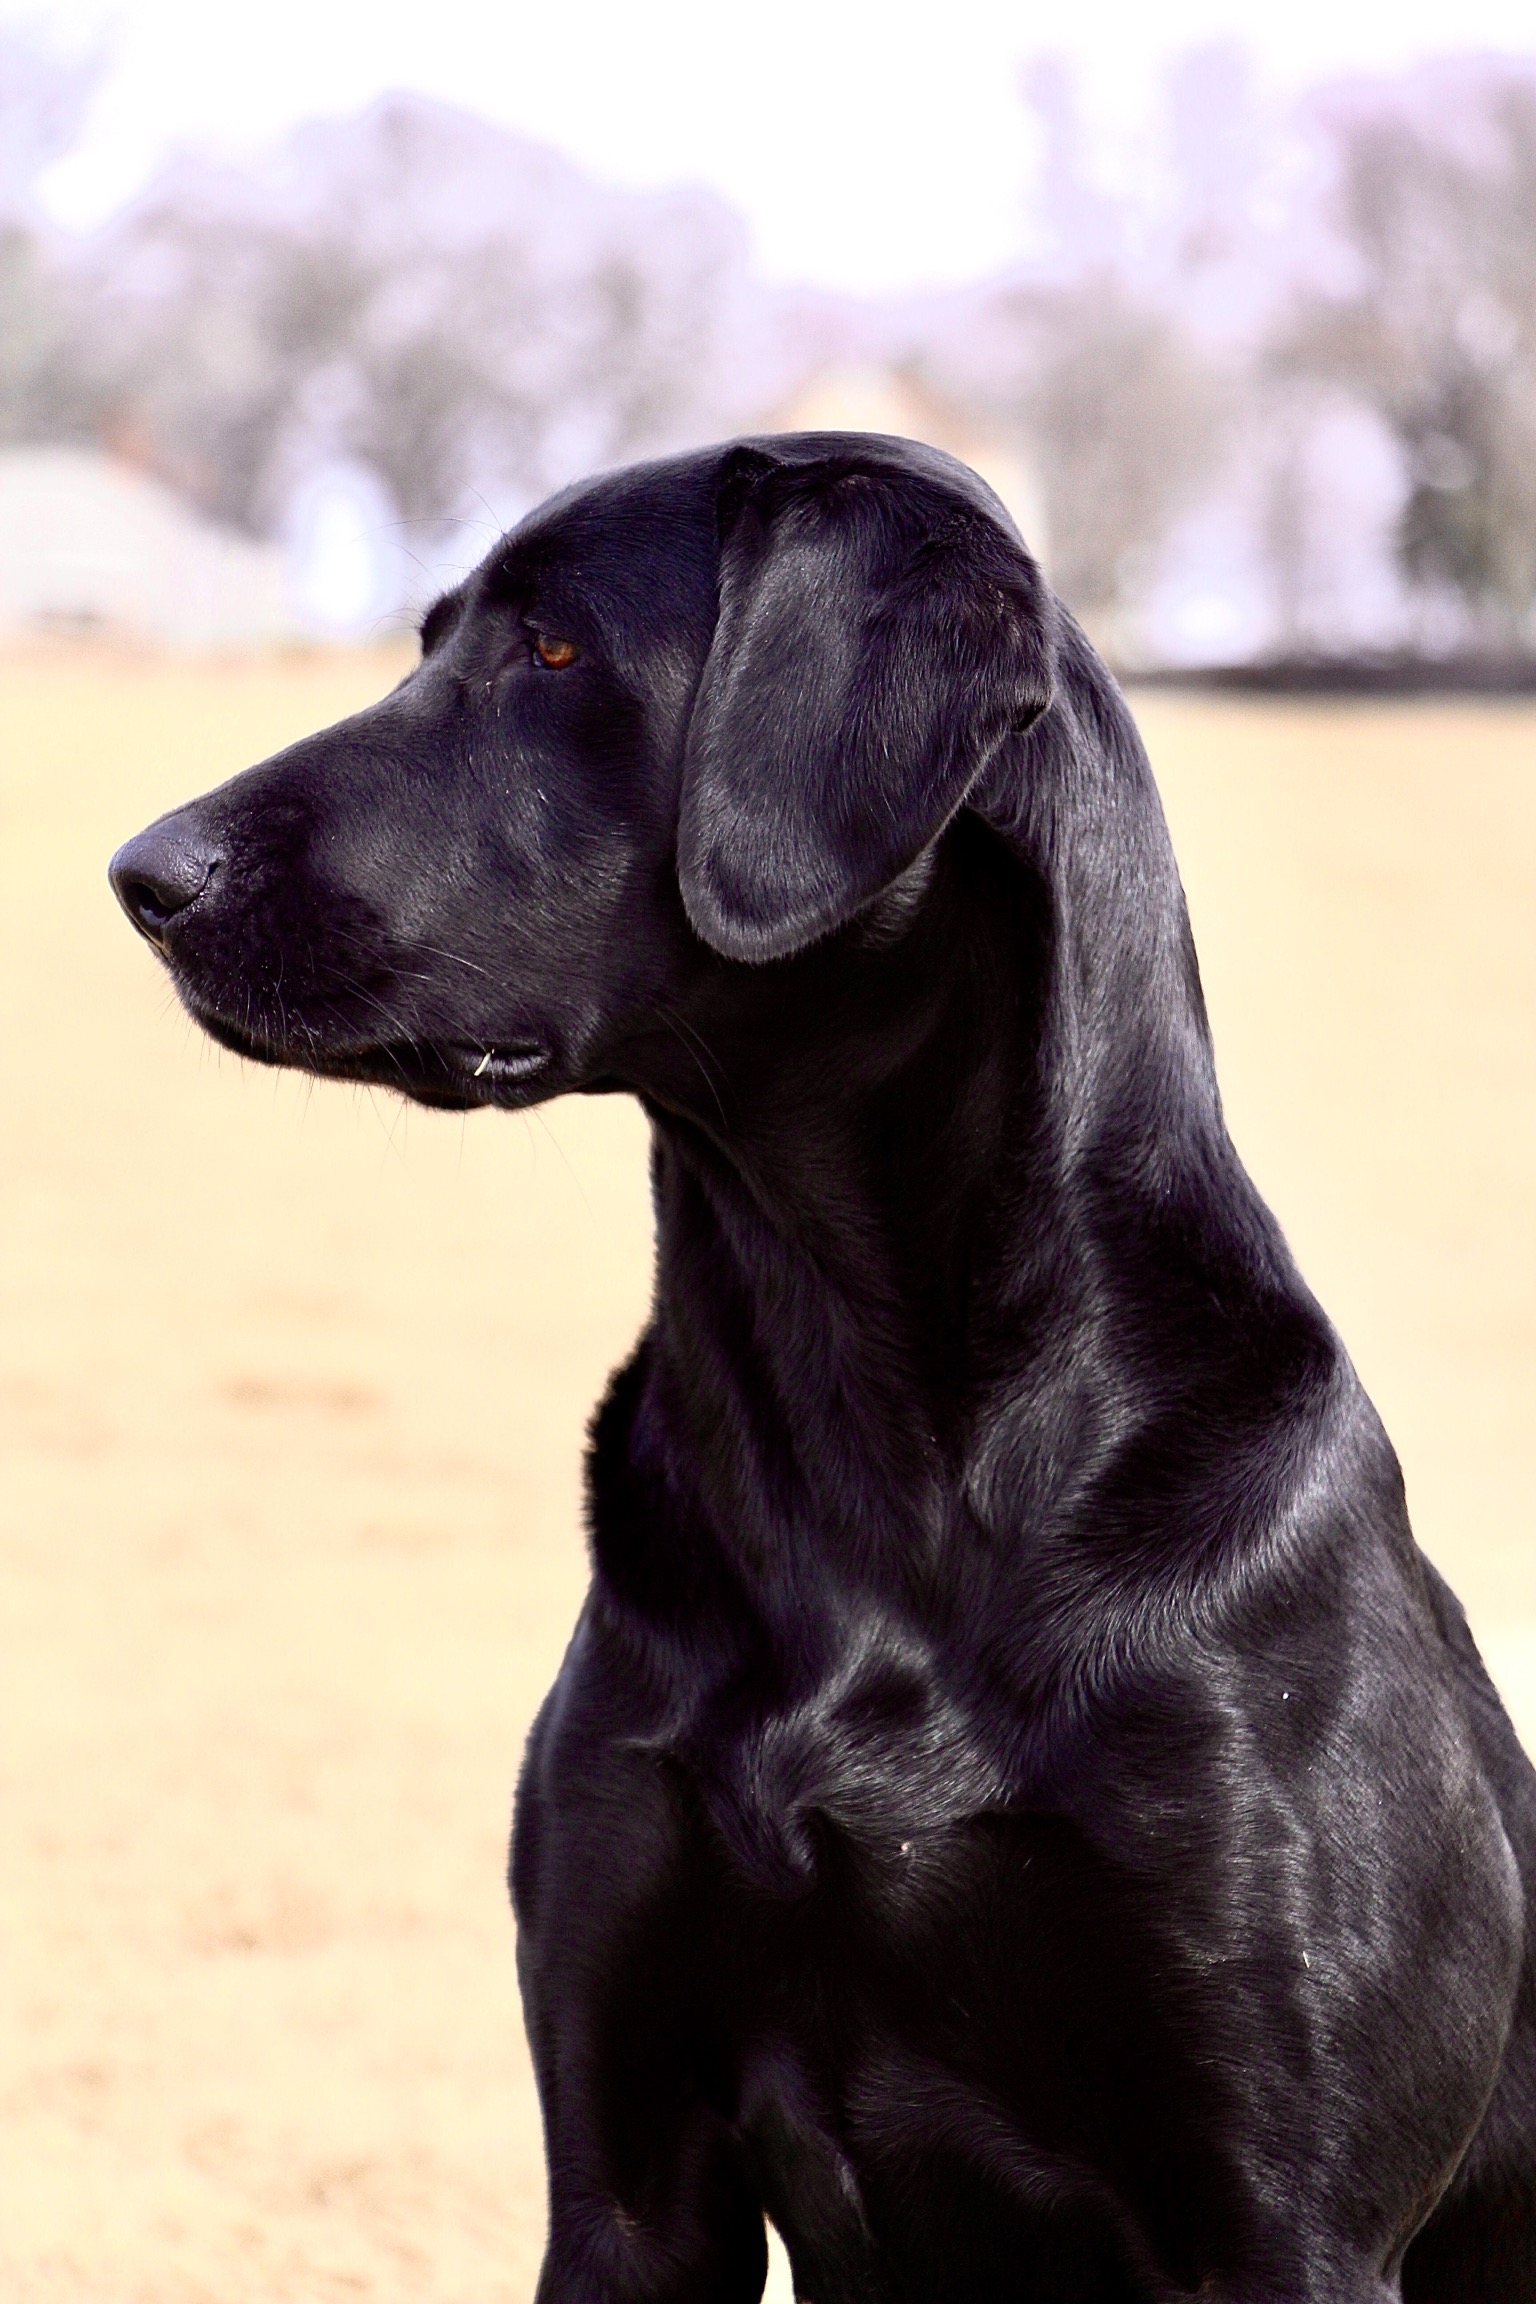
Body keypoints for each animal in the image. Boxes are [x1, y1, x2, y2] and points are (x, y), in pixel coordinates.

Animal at [111, 435, 1536, 2304]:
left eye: (553, 649)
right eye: (434, 640)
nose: (146, 875)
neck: (857, 1409)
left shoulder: (1285, 2217)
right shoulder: (629, 2171)